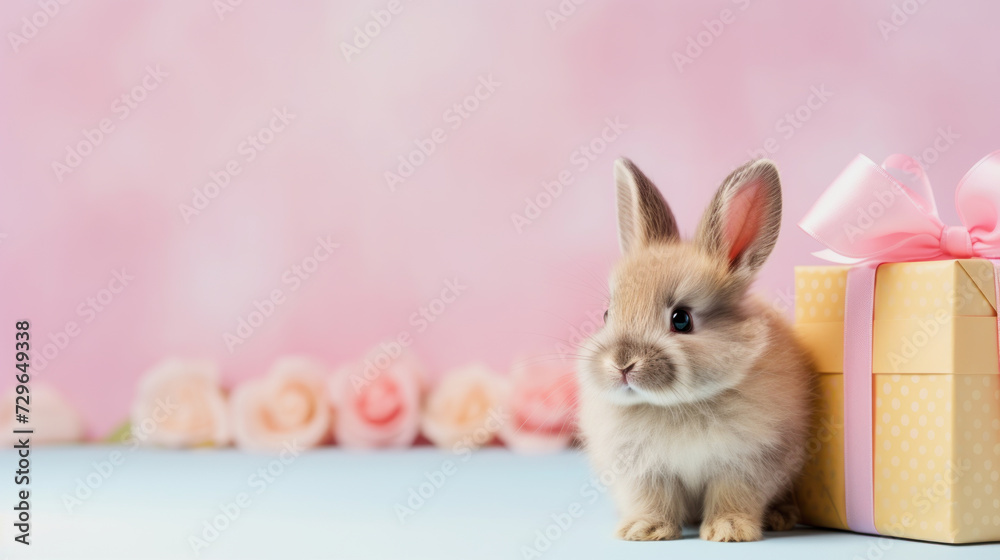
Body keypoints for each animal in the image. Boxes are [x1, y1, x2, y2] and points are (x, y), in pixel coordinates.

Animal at [576, 157, 814, 542]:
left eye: (682, 319)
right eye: (607, 314)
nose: (622, 364)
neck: (676, 404)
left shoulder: (745, 463)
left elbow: (733, 495)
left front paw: (729, 531)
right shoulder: (644, 471)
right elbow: (652, 499)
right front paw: (643, 530)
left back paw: (781, 517)